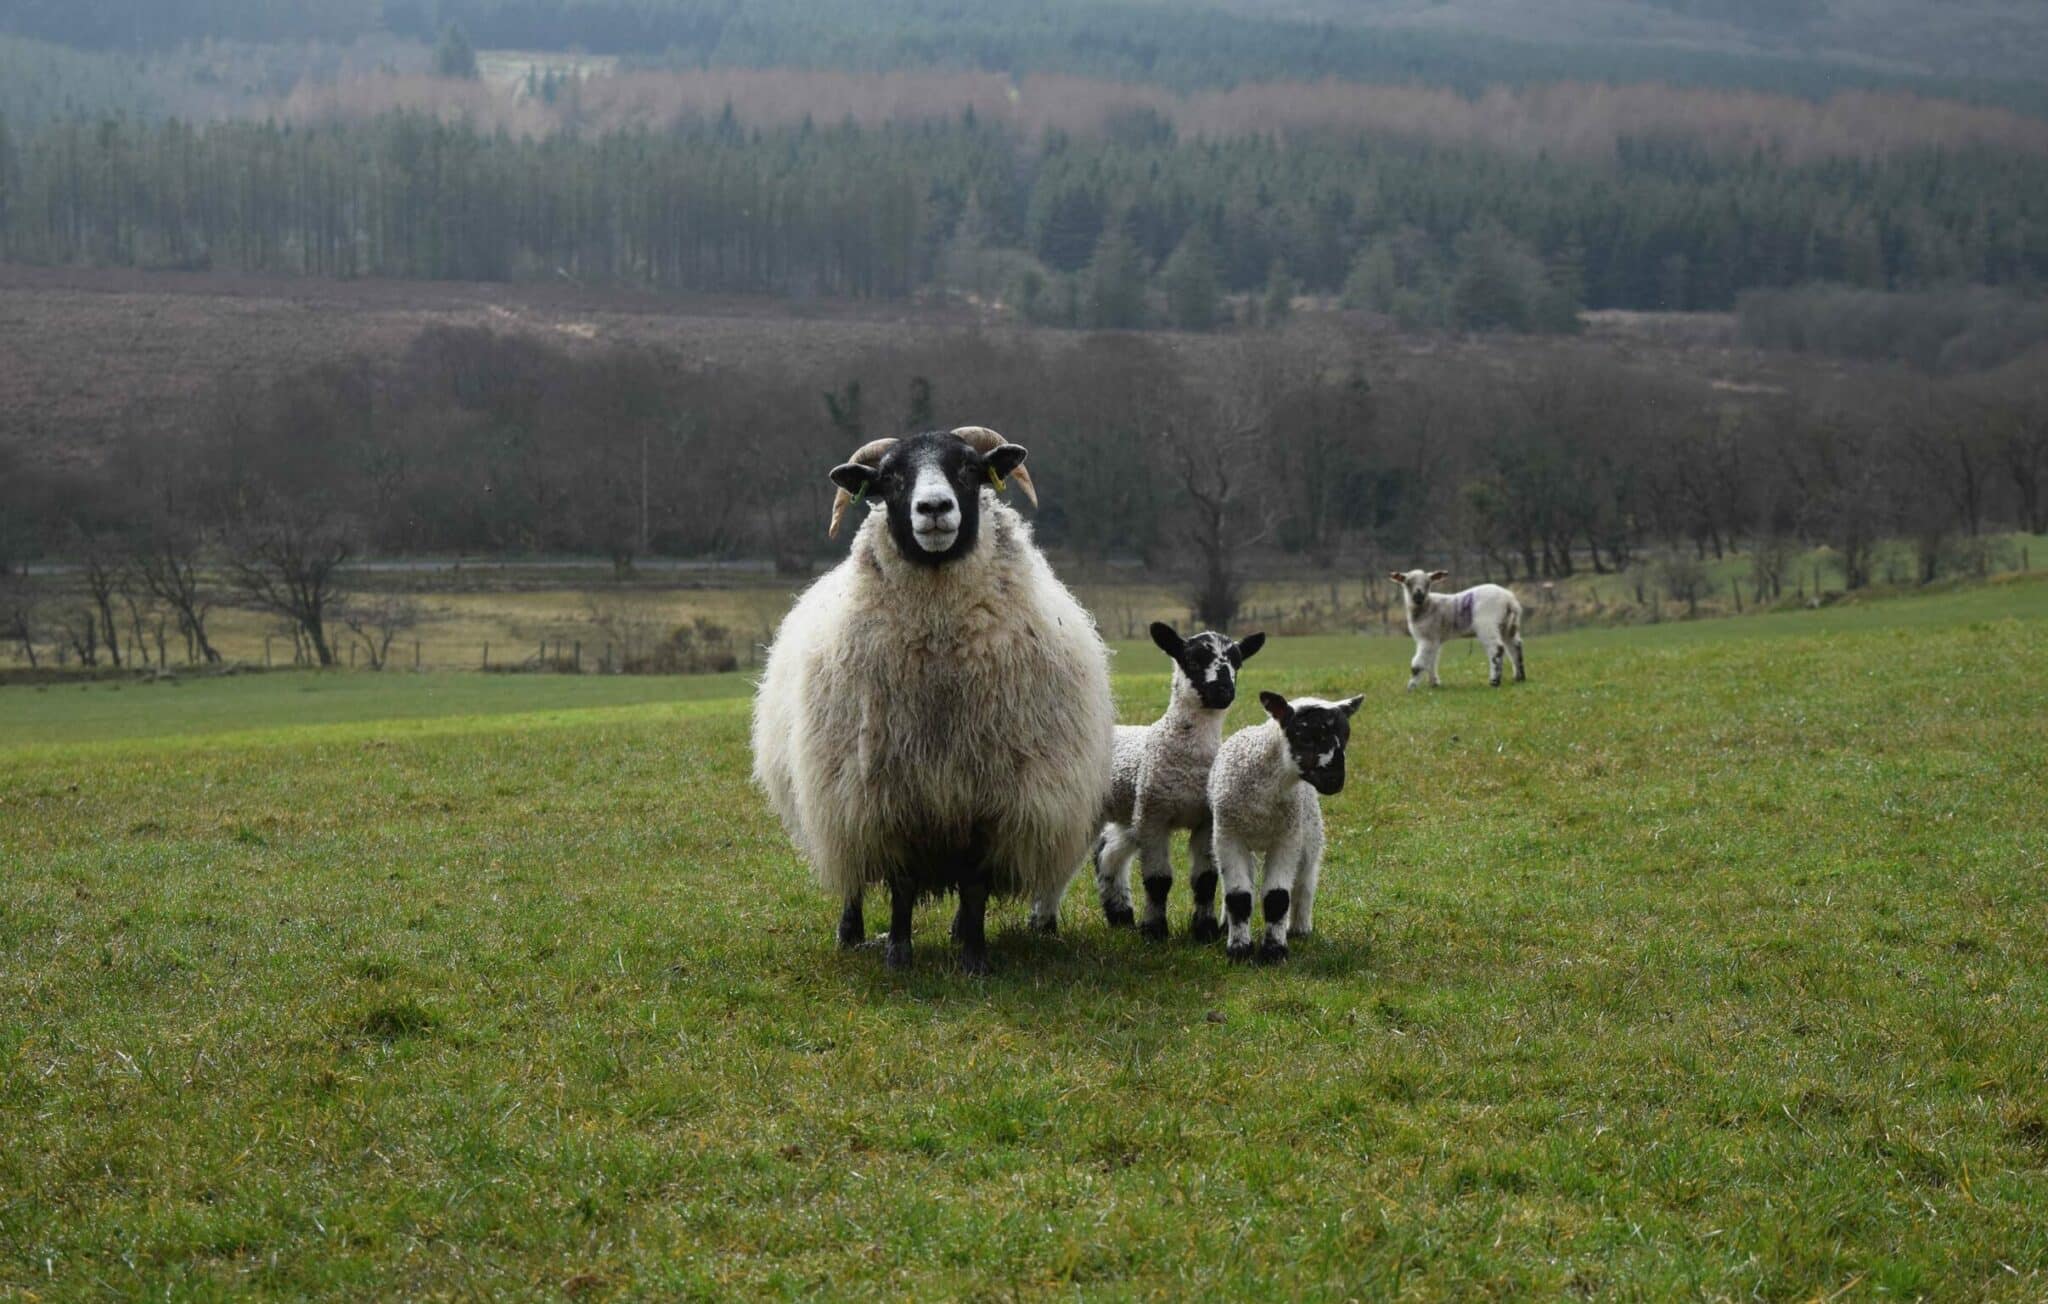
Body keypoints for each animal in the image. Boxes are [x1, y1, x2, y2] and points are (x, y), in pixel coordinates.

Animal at [749, 421, 1114, 970]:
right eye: (889, 478)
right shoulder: (892, 798)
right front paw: (898, 953)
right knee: (852, 877)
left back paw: (960, 931)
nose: (935, 508)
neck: (939, 644)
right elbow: (901, 886)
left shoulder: (993, 798)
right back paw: (850, 932)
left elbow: (976, 883)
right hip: (840, 800)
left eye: (967, 467)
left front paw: (974, 957)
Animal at [1089, 618, 1261, 937]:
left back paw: (1121, 917)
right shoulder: (1154, 816)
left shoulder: (1206, 819)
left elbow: (1205, 880)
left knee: (1109, 854)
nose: (1223, 690)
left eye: (1237, 662)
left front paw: (1204, 930)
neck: (1187, 765)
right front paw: (1154, 931)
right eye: (1192, 660)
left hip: (1131, 811)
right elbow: (1158, 880)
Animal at [1204, 687, 1368, 962]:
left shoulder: (1287, 838)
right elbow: (1238, 896)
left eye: (1345, 738)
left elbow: (1277, 898)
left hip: (1310, 834)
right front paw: (1238, 949)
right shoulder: (1228, 837)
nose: (1335, 780)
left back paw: (1300, 928)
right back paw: (1227, 924)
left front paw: (1274, 951)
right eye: (1304, 737)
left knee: (1305, 881)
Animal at [1384, 569, 1531, 691]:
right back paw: (1519, 677)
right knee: (1515, 646)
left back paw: (1494, 681)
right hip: (1509, 625)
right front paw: (1434, 683)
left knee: (1497, 649)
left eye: (1428, 582)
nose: (1418, 595)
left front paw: (1411, 687)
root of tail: (1509, 600)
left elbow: (1418, 664)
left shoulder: (1427, 638)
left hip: (1487, 624)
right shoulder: (1435, 639)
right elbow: (1431, 661)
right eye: (1408, 582)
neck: (1427, 605)